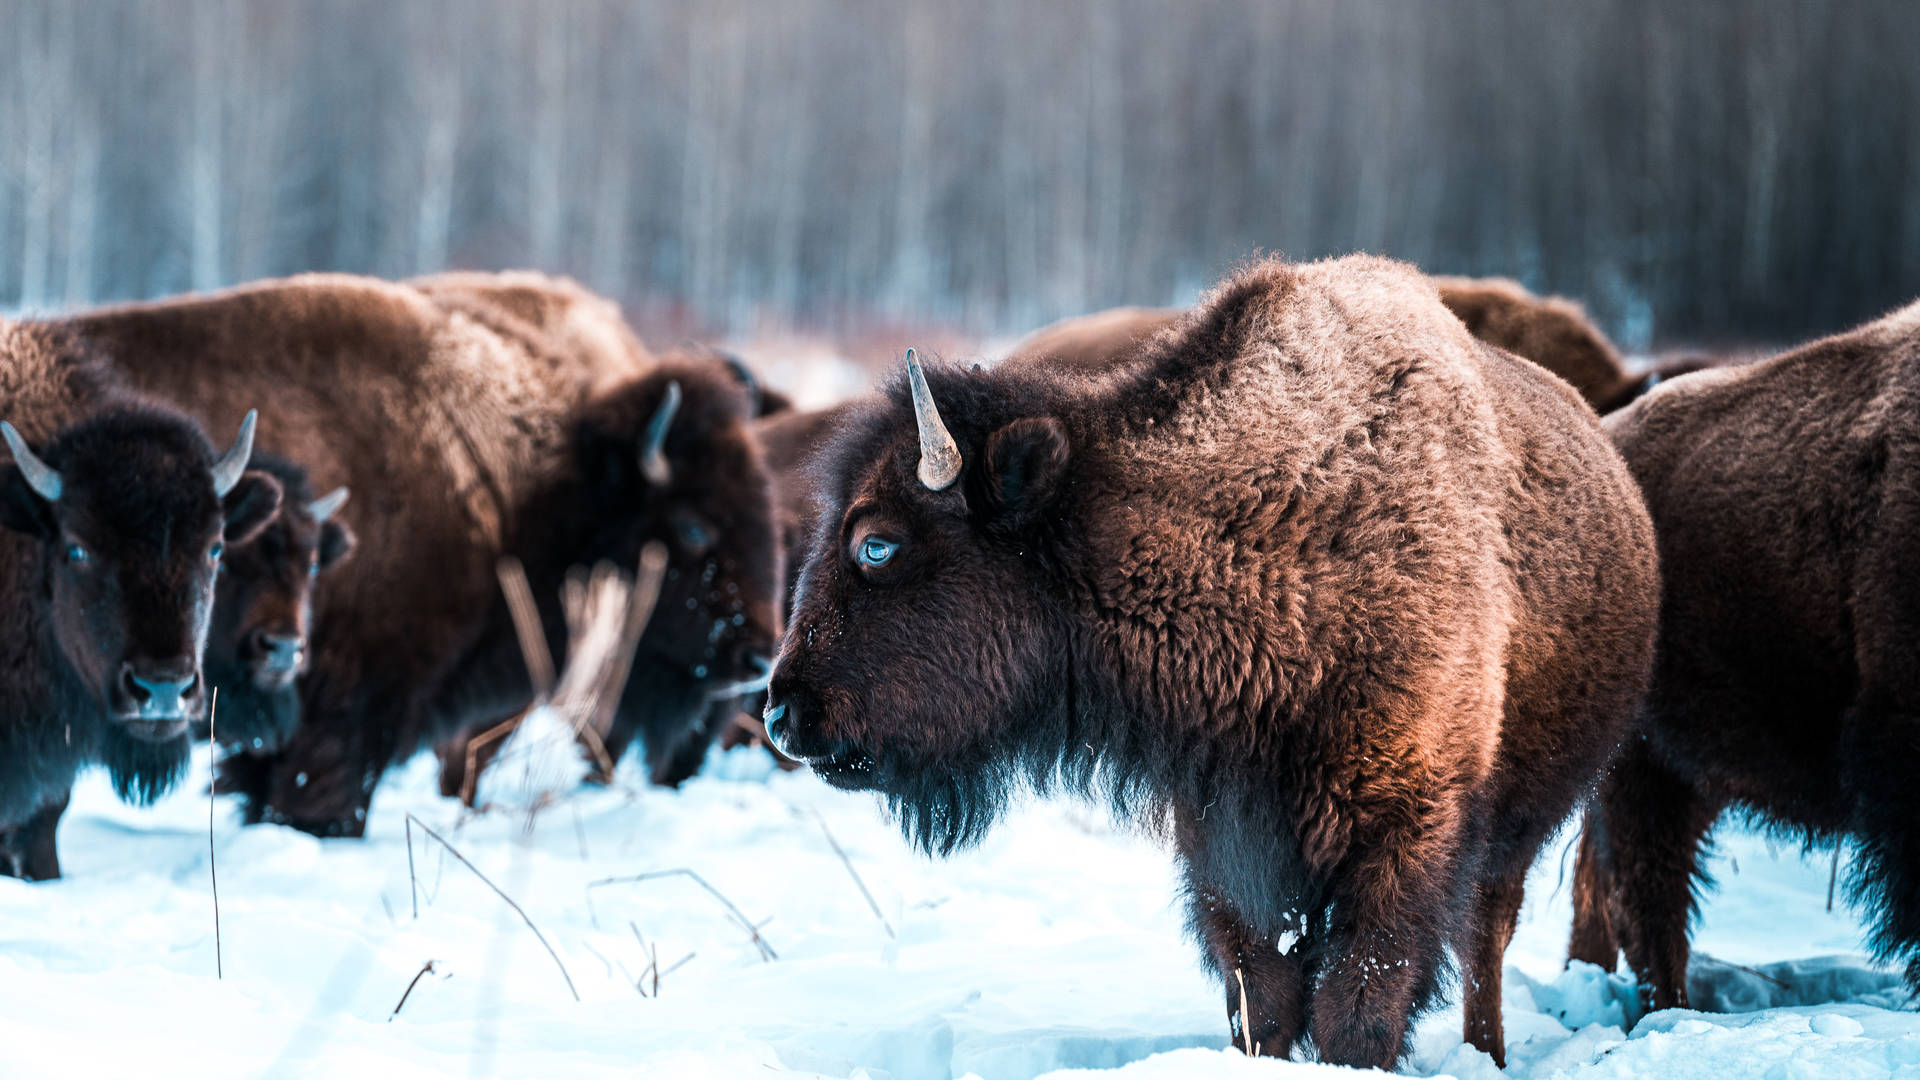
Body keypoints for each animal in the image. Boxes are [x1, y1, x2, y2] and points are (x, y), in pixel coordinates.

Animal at [756, 253, 1658, 1068]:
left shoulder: (1406, 827)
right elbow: (1263, 993)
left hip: (1519, 827)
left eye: (876, 543)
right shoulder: (1225, 847)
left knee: (1485, 938)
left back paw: (1488, 1051)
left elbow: (1362, 1000)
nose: (781, 711)